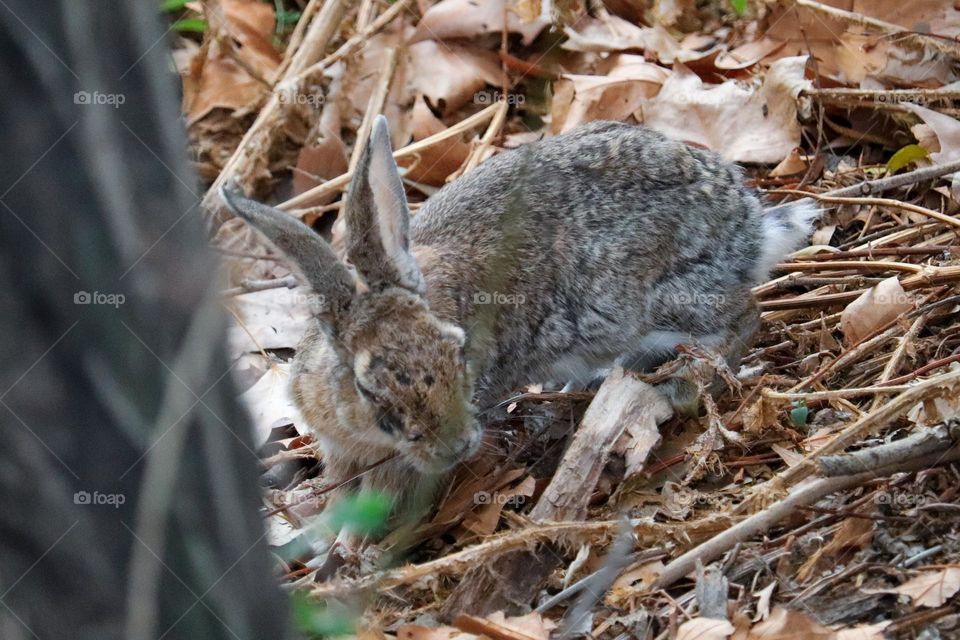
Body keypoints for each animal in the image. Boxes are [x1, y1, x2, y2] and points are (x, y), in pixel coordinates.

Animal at [220, 116, 817, 533]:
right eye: (368, 387)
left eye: (457, 352)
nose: (457, 446)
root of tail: (749, 230)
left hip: (656, 303)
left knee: (743, 316)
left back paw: (681, 384)